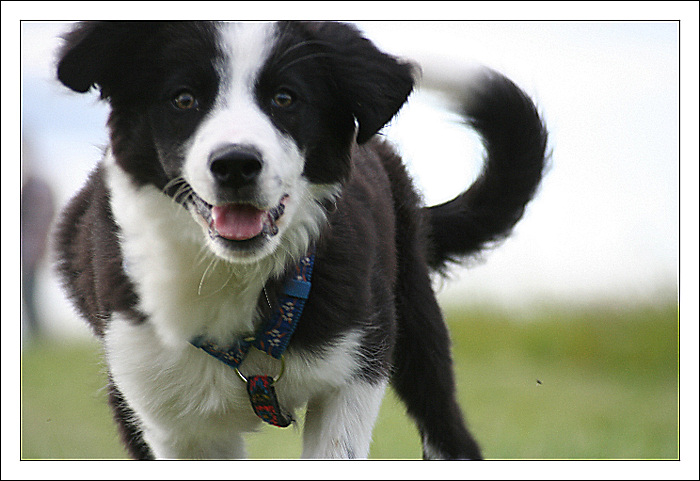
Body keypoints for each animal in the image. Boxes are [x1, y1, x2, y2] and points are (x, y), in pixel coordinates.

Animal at [53, 20, 548, 460]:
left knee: (449, 434)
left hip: (415, 316)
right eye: (184, 99)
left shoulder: (359, 361)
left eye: (284, 98)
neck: (235, 278)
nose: (236, 164)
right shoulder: (162, 410)